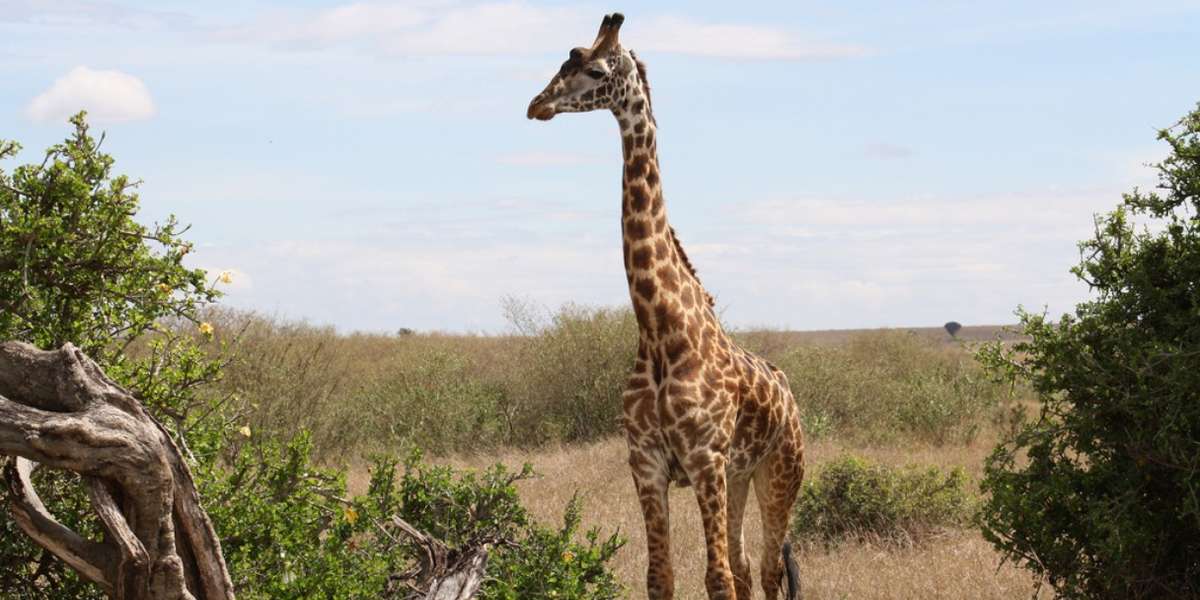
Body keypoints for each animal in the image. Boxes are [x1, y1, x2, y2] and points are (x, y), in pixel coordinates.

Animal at [527, 13, 806, 600]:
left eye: (595, 69)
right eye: (562, 61)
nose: (537, 104)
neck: (659, 328)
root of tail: (788, 393)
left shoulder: (702, 458)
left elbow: (715, 578)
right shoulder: (647, 463)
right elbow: (663, 577)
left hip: (780, 472)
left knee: (768, 569)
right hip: (739, 476)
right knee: (747, 568)